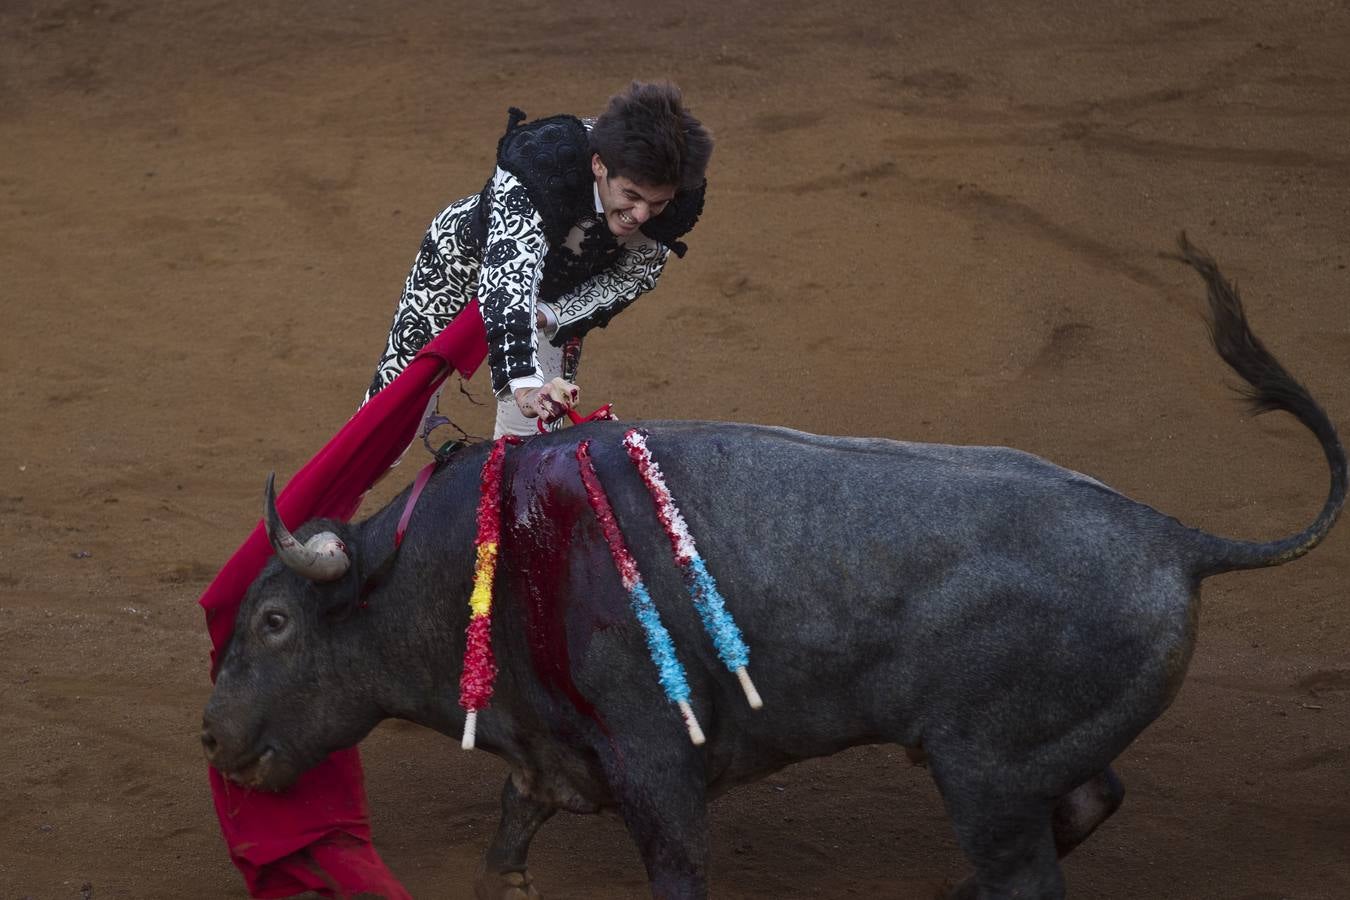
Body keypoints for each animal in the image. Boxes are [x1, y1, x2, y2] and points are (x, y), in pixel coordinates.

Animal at [202, 241, 1350, 900]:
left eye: (272, 623)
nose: (211, 737)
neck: (466, 560)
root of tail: (1174, 537)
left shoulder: (657, 772)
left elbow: (672, 868)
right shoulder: (550, 753)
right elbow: (507, 839)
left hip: (982, 774)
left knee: (1028, 865)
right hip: (1020, 761)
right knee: (1084, 803)